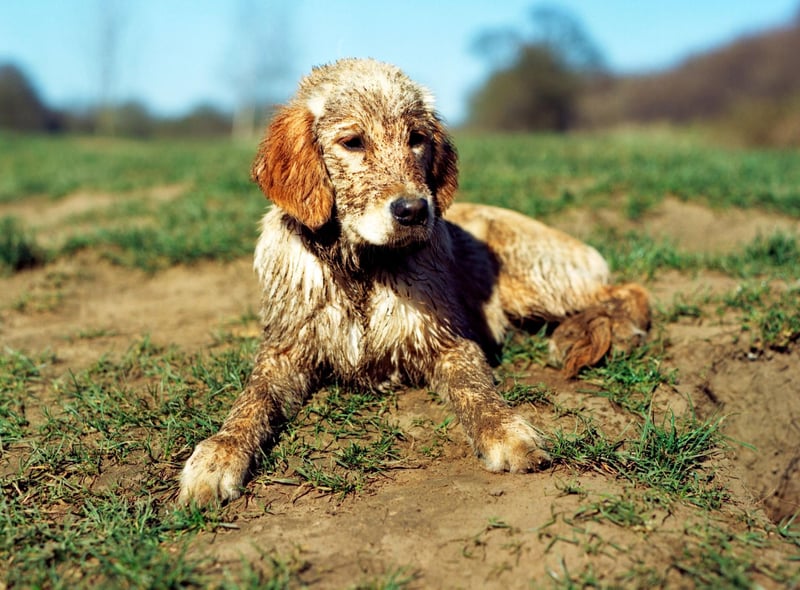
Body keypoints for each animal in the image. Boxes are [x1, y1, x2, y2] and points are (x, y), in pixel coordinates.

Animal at [180, 59, 648, 504]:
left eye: (416, 139)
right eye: (353, 142)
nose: (414, 210)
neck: (361, 270)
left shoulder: (449, 341)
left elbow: (476, 390)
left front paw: (506, 431)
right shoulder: (284, 351)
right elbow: (251, 399)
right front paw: (219, 453)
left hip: (530, 280)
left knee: (629, 290)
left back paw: (593, 331)